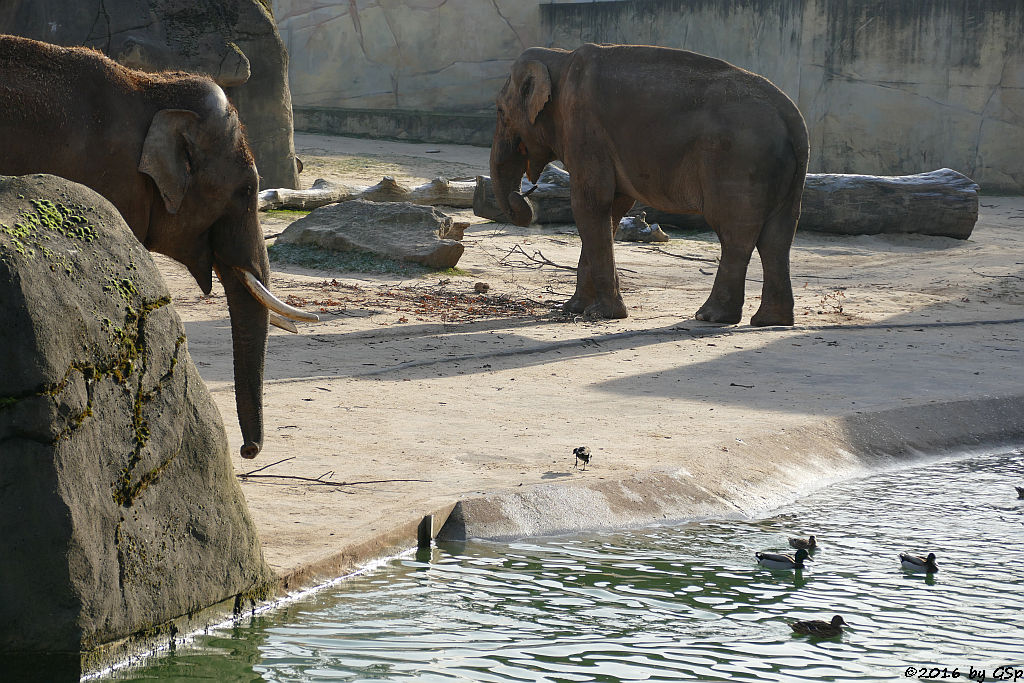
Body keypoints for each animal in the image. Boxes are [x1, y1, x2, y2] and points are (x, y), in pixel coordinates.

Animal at [491, 44, 811, 327]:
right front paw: (575, 309)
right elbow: (612, 209)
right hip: (786, 173)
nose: (522, 194)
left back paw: (710, 316)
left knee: (736, 233)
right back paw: (771, 321)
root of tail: (794, 118)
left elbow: (590, 204)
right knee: (778, 236)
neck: (559, 57)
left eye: (499, 111)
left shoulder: (584, 130)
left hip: (738, 161)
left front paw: (603, 314)